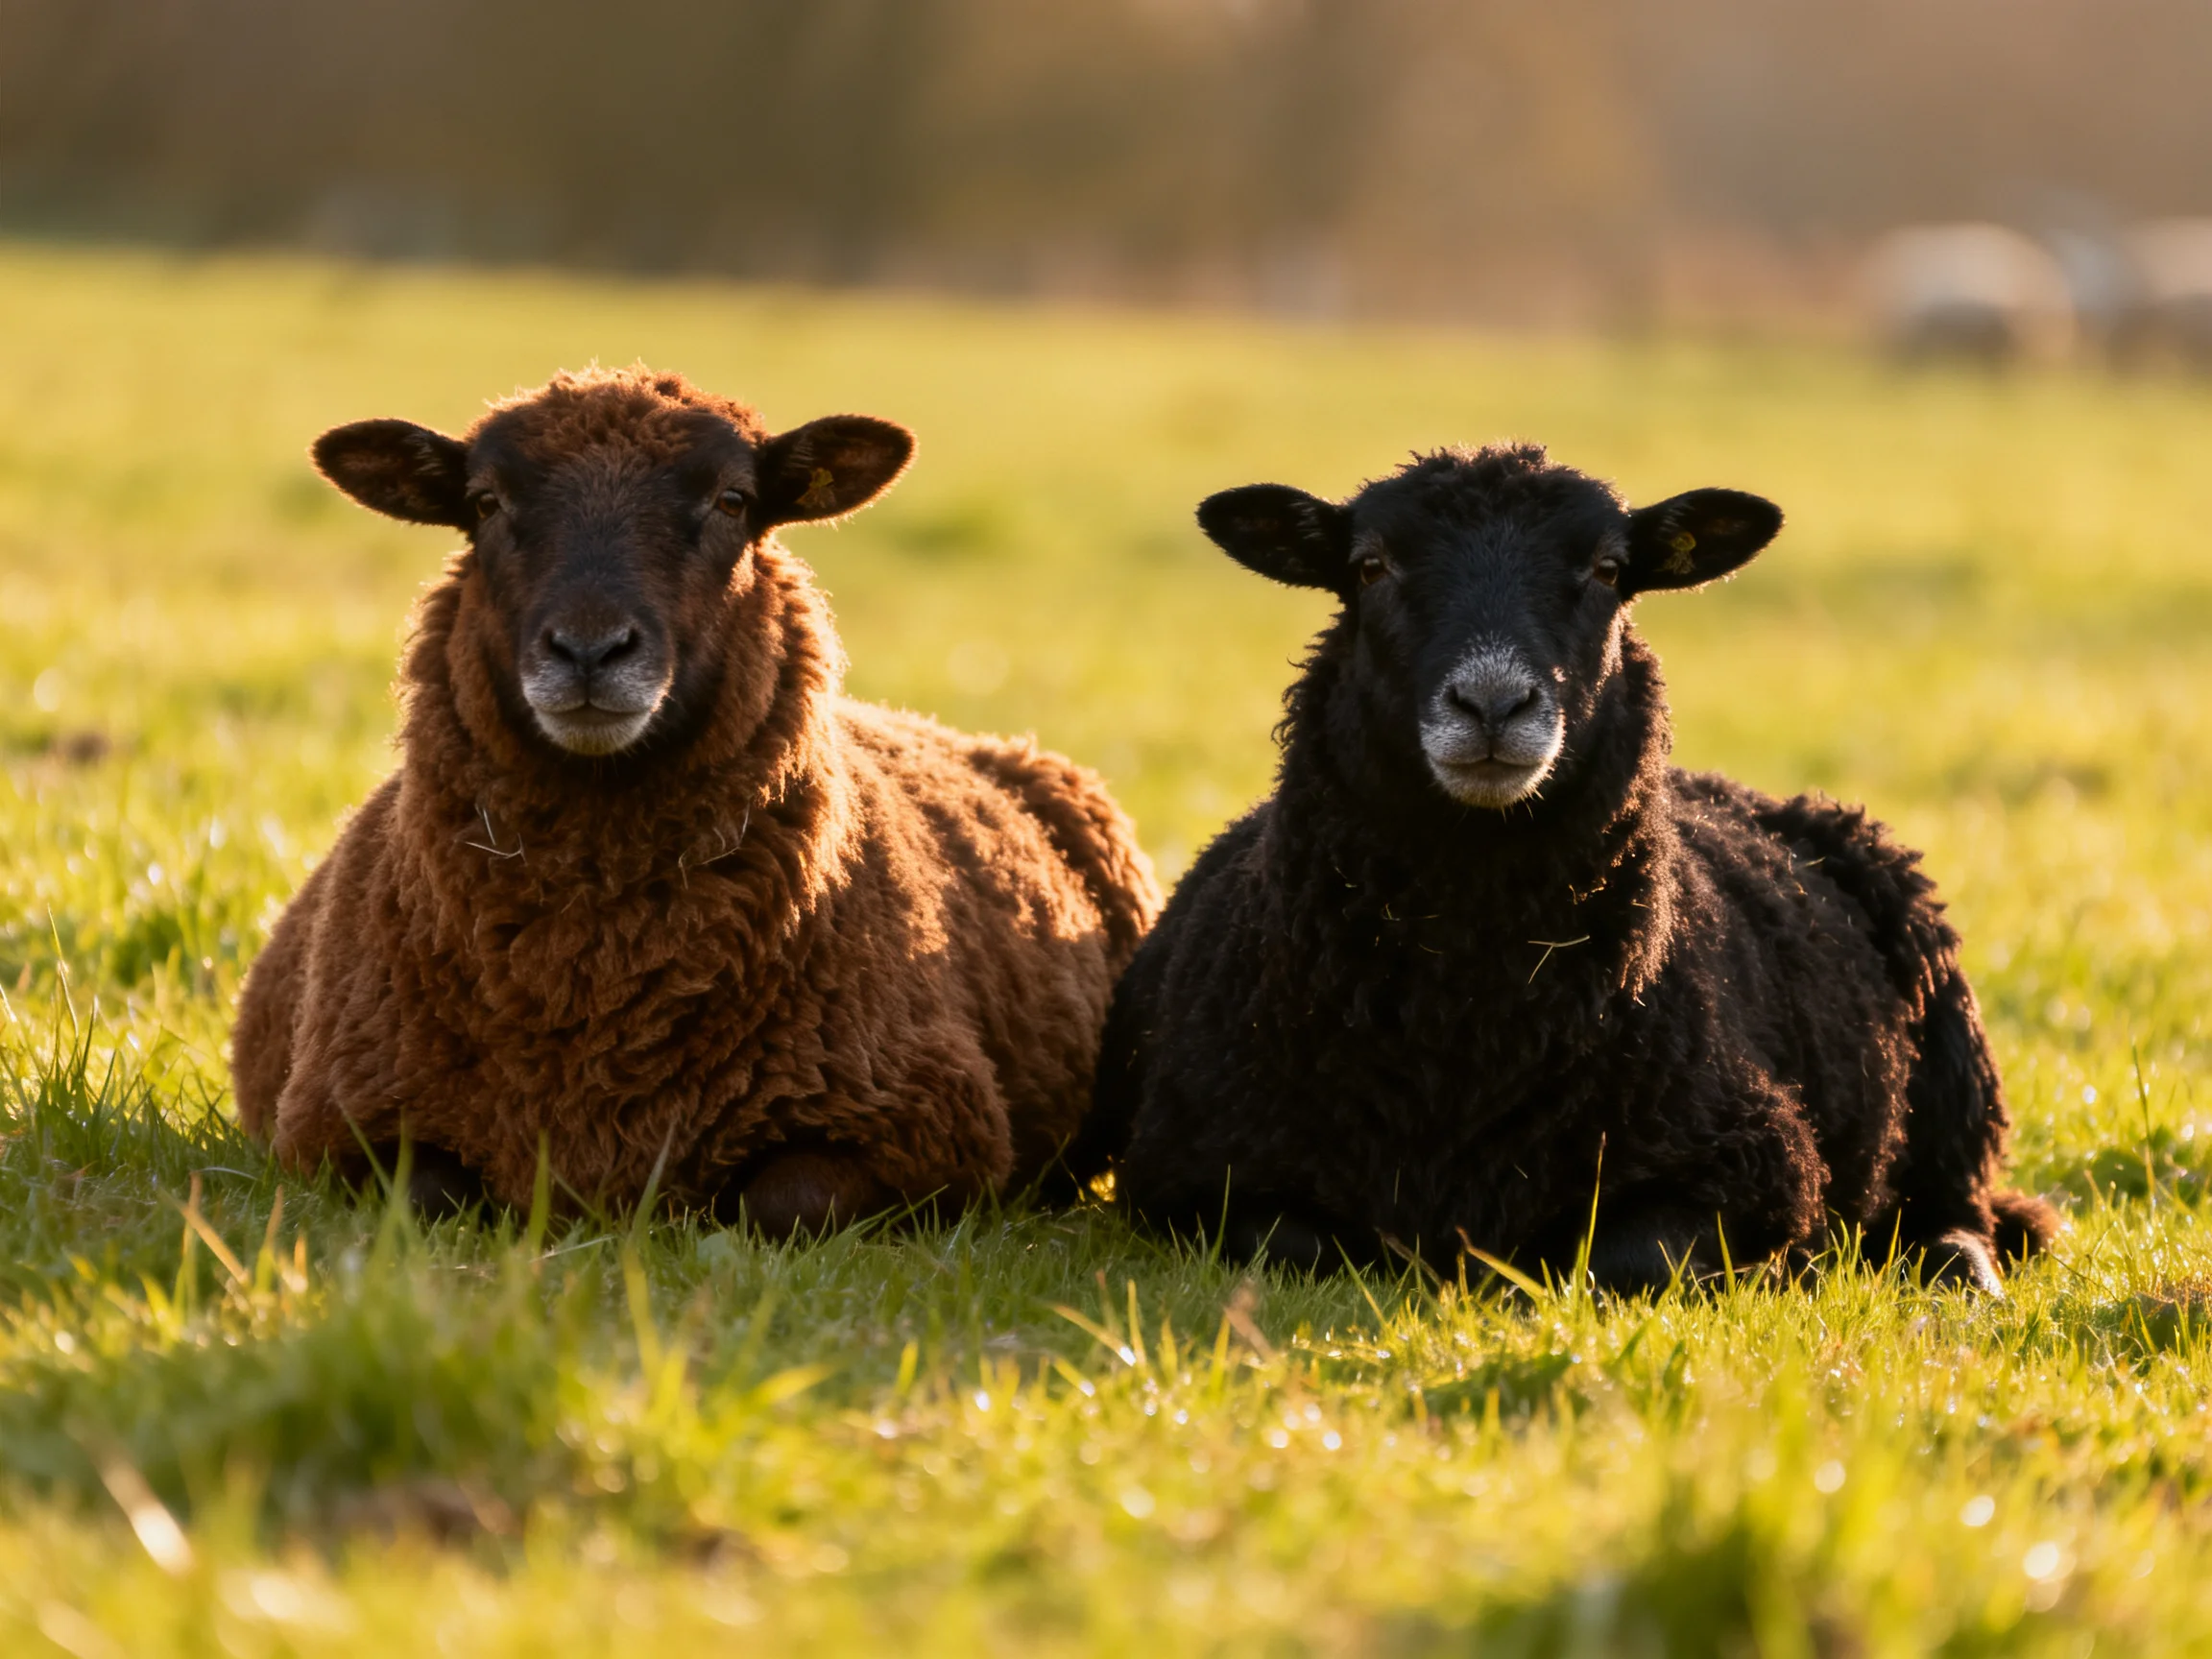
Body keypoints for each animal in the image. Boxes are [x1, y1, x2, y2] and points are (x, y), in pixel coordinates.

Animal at [232, 366, 1159, 1231]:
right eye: (486, 503)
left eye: (733, 500)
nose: (590, 649)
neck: (594, 976)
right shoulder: (339, 1130)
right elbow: (429, 1195)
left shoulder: (924, 1135)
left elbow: (785, 1203)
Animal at [1093, 444, 2055, 1294]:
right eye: (1369, 566)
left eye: (1607, 569)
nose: (1492, 703)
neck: (1463, 1022)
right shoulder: (1190, 1174)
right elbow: (1301, 1247)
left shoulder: (1752, 1165)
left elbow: (1625, 1261)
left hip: (1952, 1083)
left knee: (1957, 1210)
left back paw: (1960, 1276)